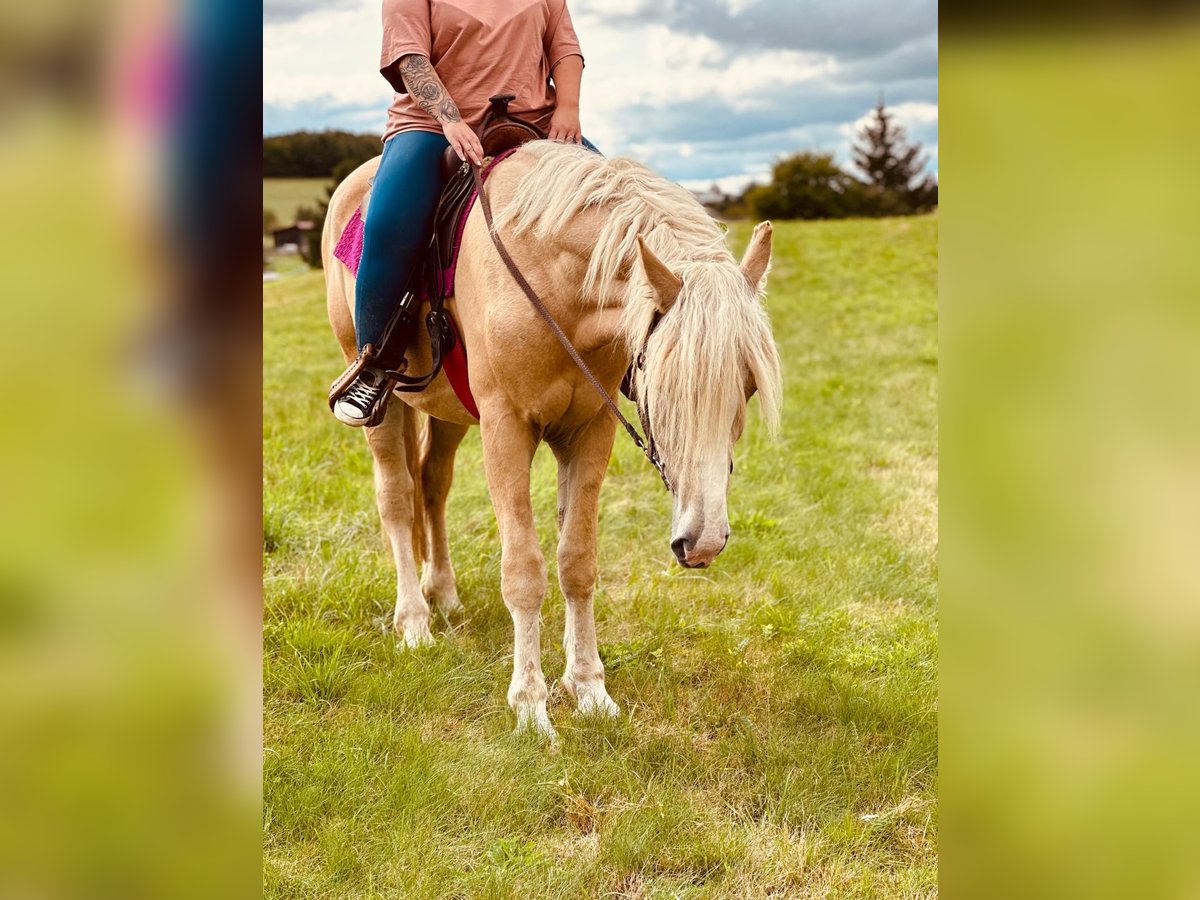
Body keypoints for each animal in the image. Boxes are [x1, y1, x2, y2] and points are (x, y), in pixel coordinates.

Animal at [324, 137, 782, 734]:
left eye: (747, 385)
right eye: (663, 379)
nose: (703, 542)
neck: (553, 279)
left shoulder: (589, 431)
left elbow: (577, 563)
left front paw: (589, 689)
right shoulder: (506, 430)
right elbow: (524, 570)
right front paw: (530, 706)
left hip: (447, 414)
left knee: (432, 483)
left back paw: (442, 593)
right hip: (386, 405)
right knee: (397, 496)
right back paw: (414, 622)